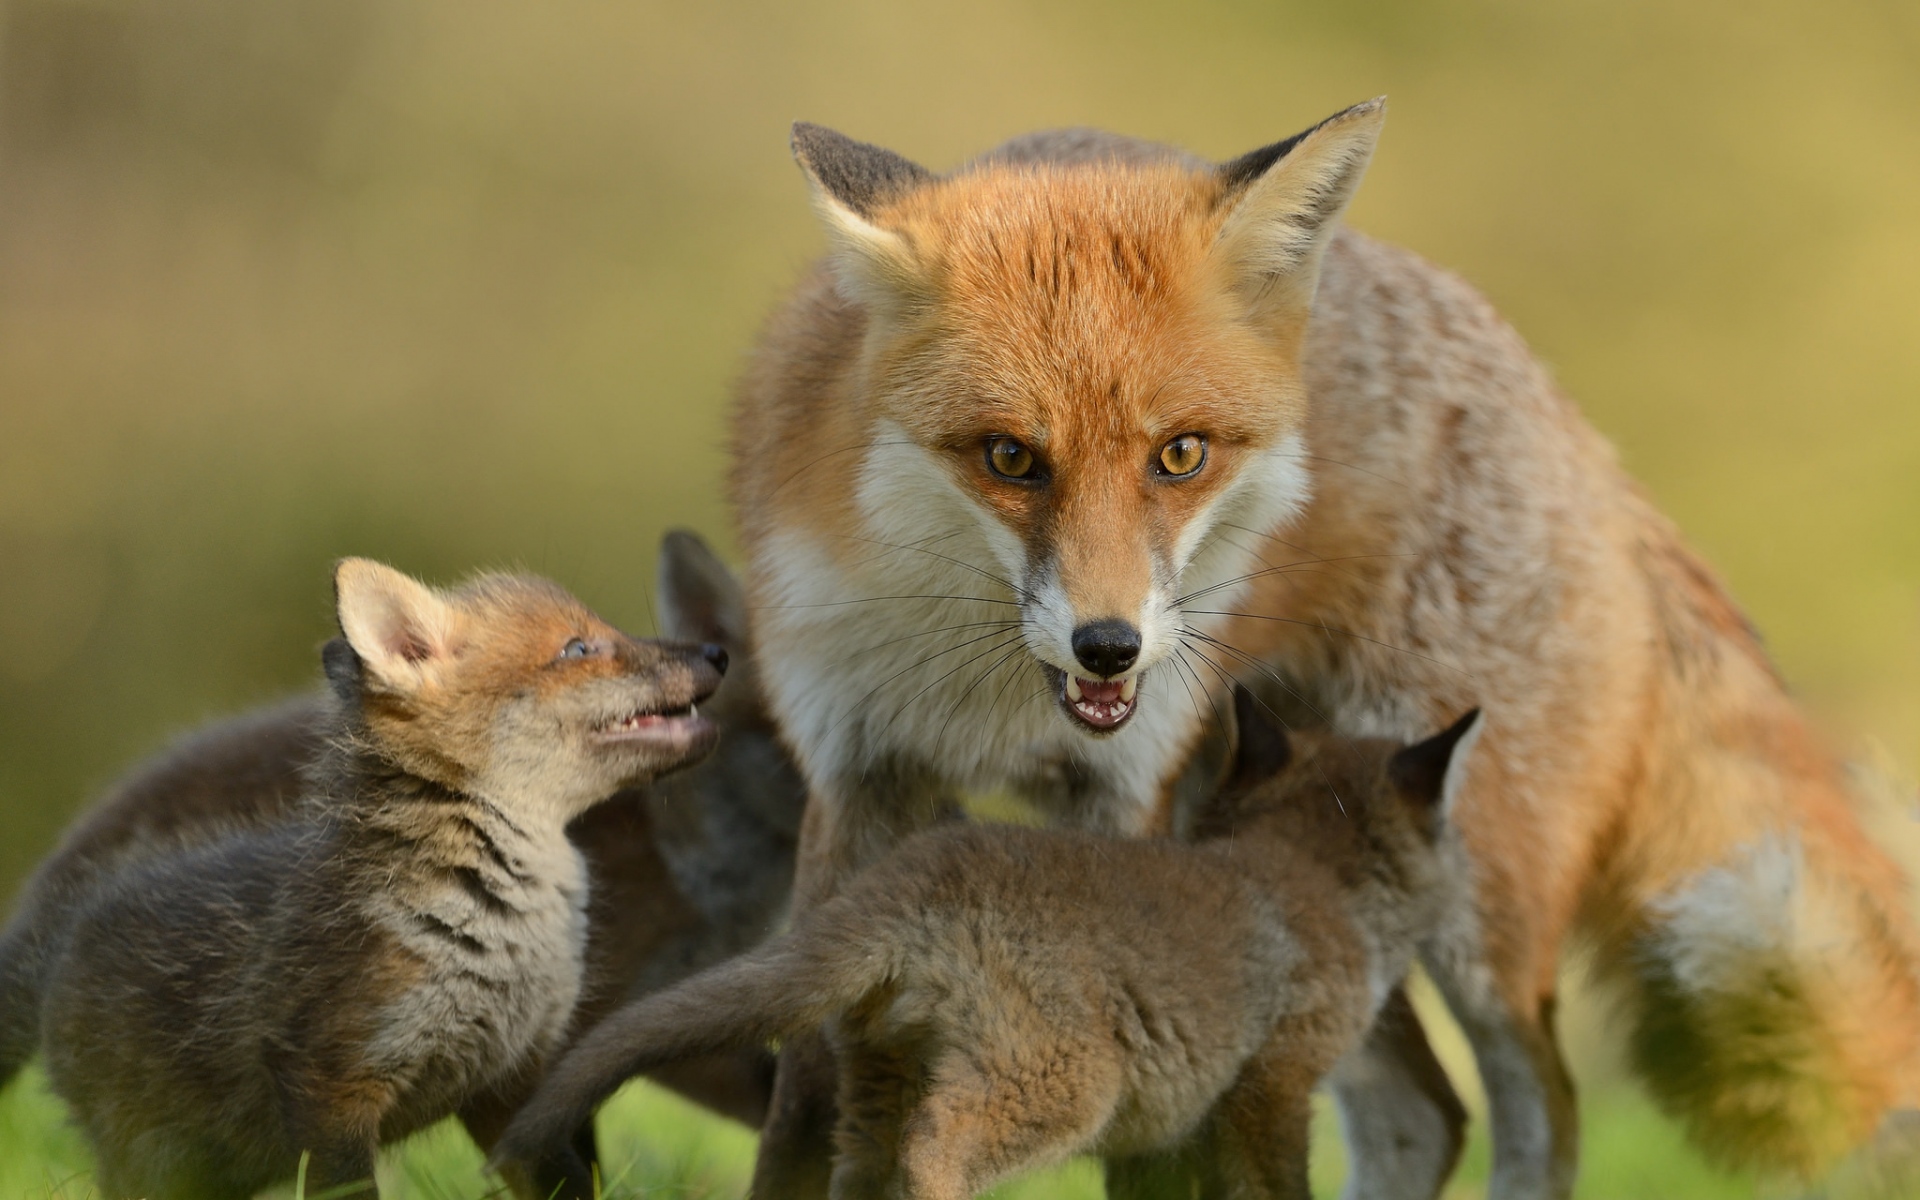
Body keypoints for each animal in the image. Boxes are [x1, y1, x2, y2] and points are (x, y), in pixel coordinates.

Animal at [495, 687, 1482, 1200]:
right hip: (1068, 1084)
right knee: (937, 1144)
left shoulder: (1186, 1125)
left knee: (865, 1168)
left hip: (875, 1086)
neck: (1300, 873)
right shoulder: (1274, 1083)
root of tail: (917, 875)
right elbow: (1277, 1187)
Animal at [729, 99, 1920, 1198]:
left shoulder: (1125, 798)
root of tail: (1573, 425)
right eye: (1010, 458)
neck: (981, 690)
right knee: (1423, 1115)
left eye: (1182, 455)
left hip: (1467, 890)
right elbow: (803, 1103)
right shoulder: (854, 776)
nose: (1109, 649)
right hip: (1301, 860)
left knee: (1539, 1109)